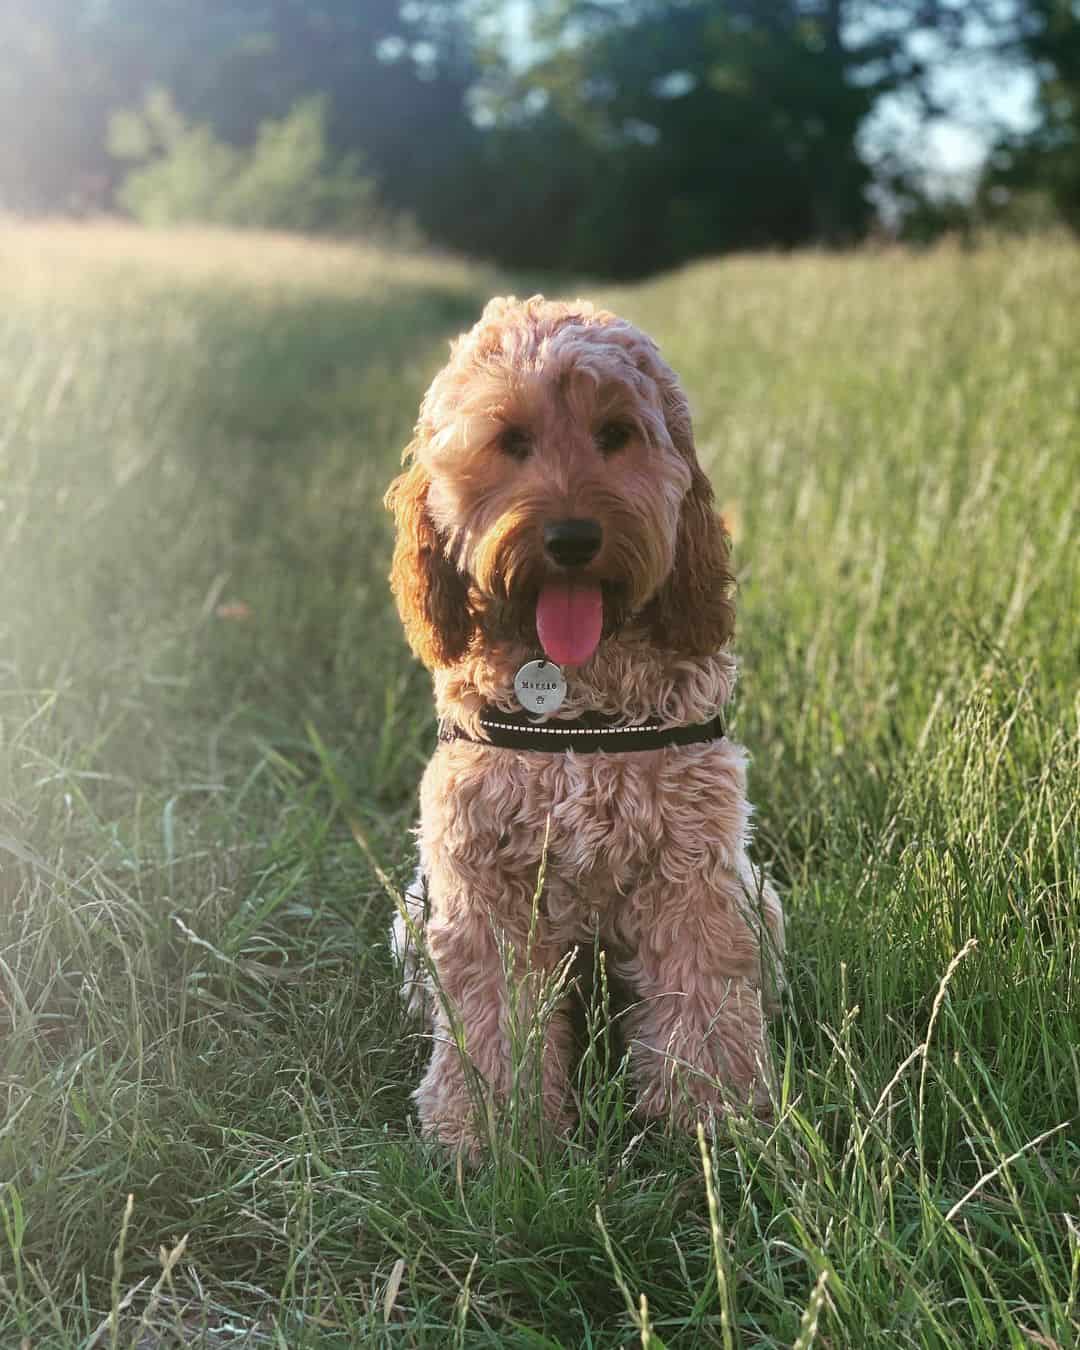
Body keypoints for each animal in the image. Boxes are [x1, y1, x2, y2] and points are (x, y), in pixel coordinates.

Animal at [383, 295, 783, 1150]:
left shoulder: (693, 874)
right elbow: (492, 1017)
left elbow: (701, 999)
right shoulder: (483, 881)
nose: (572, 538)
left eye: (615, 434)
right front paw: (492, 1130)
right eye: (511, 440)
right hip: (415, 913)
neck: (576, 698)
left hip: (757, 894)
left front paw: (714, 1116)